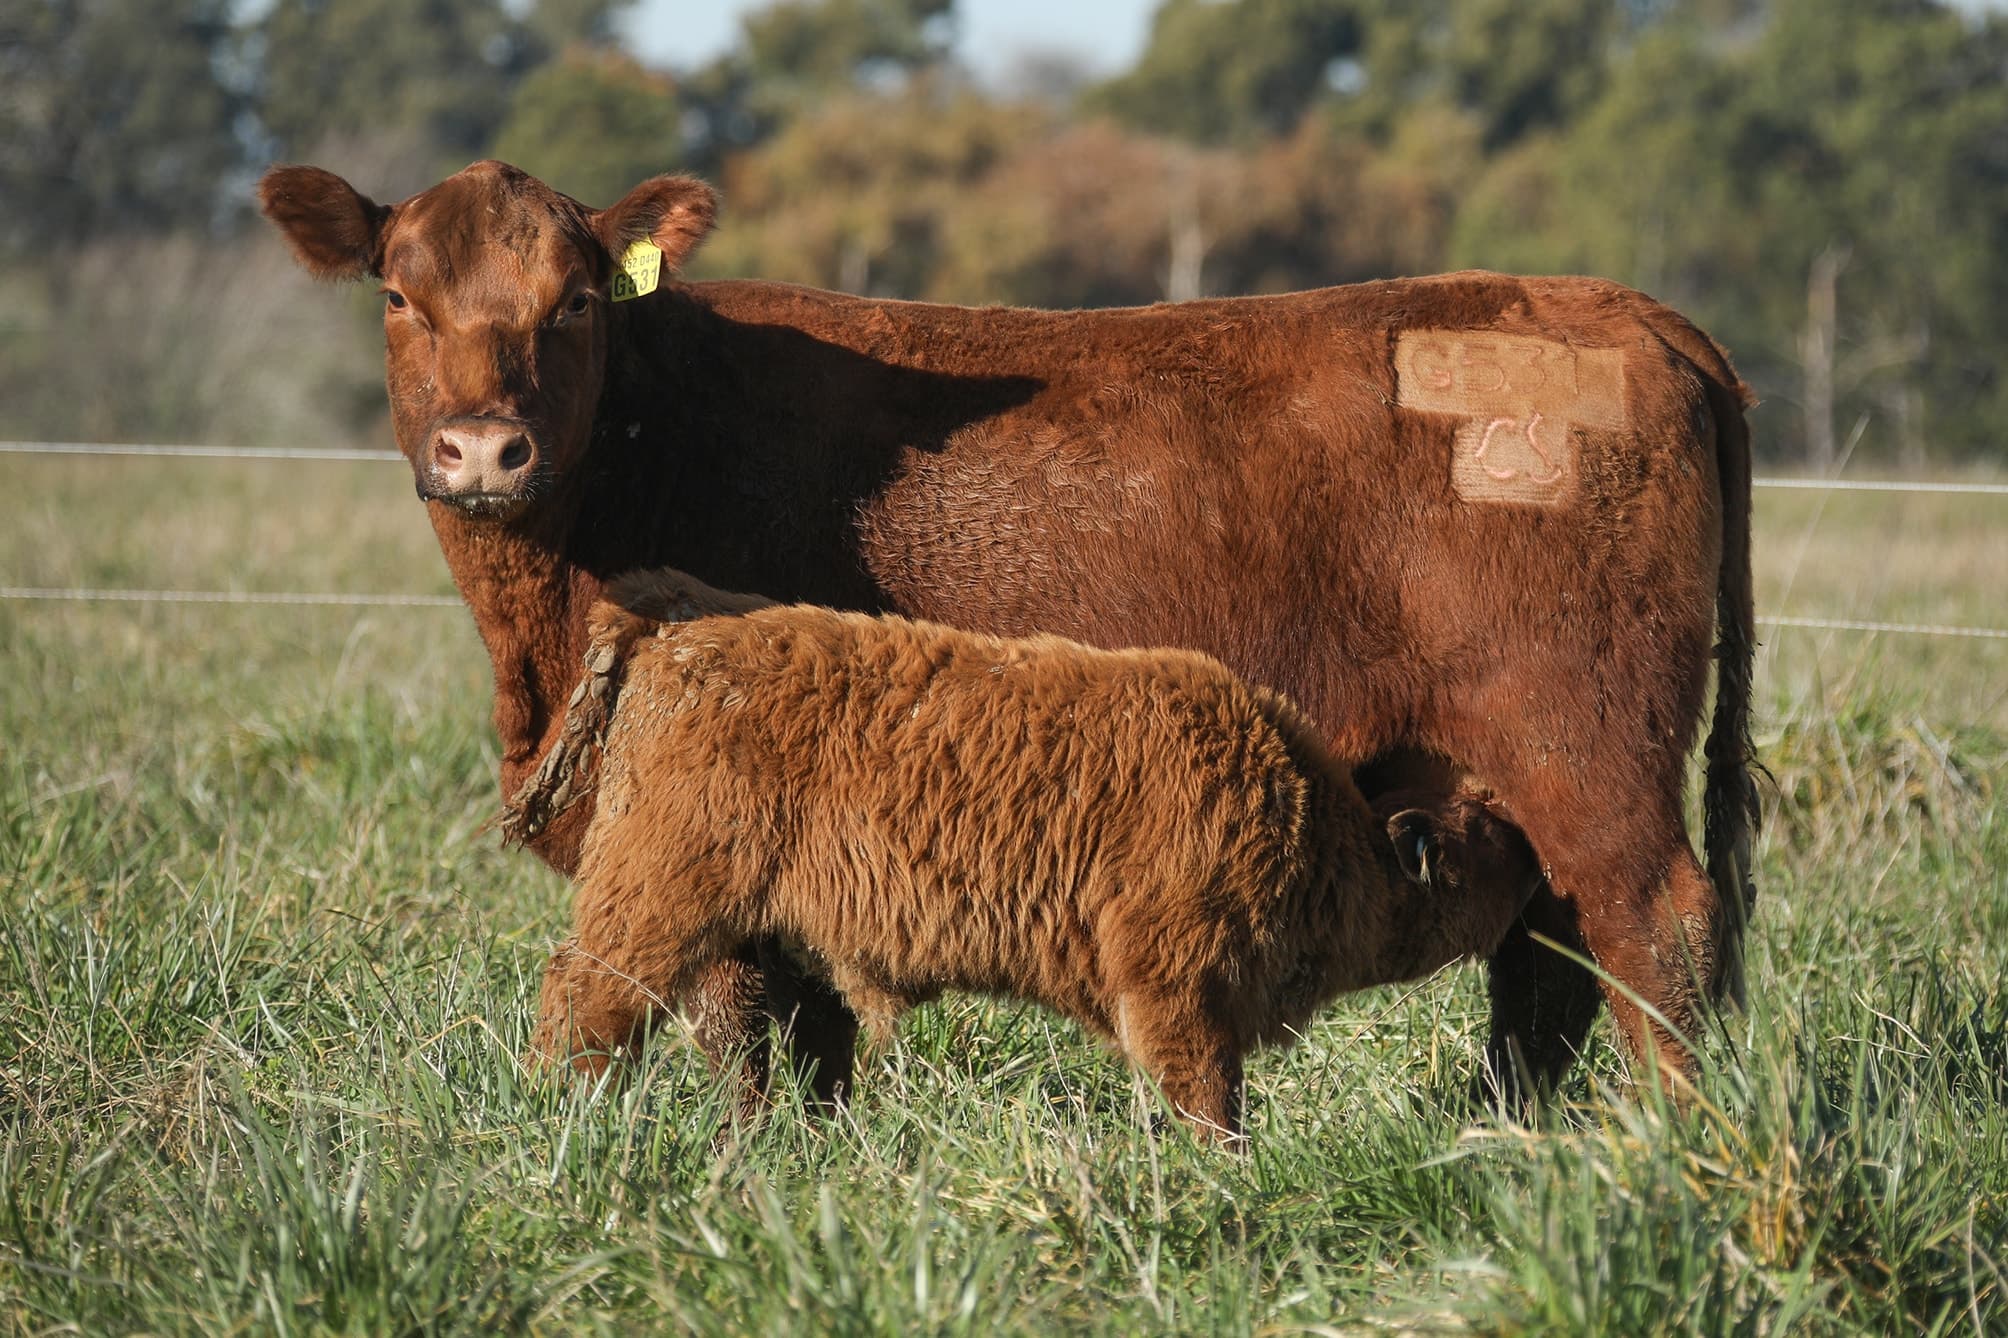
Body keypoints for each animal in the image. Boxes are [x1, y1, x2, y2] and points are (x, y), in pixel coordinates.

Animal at [503, 568, 1548, 1141]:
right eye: (1487, 845)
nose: (1542, 868)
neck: (1311, 821)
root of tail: (677, 633)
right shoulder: (1175, 995)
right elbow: (1208, 1102)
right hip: (651, 909)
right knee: (582, 1003)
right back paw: (563, 1117)